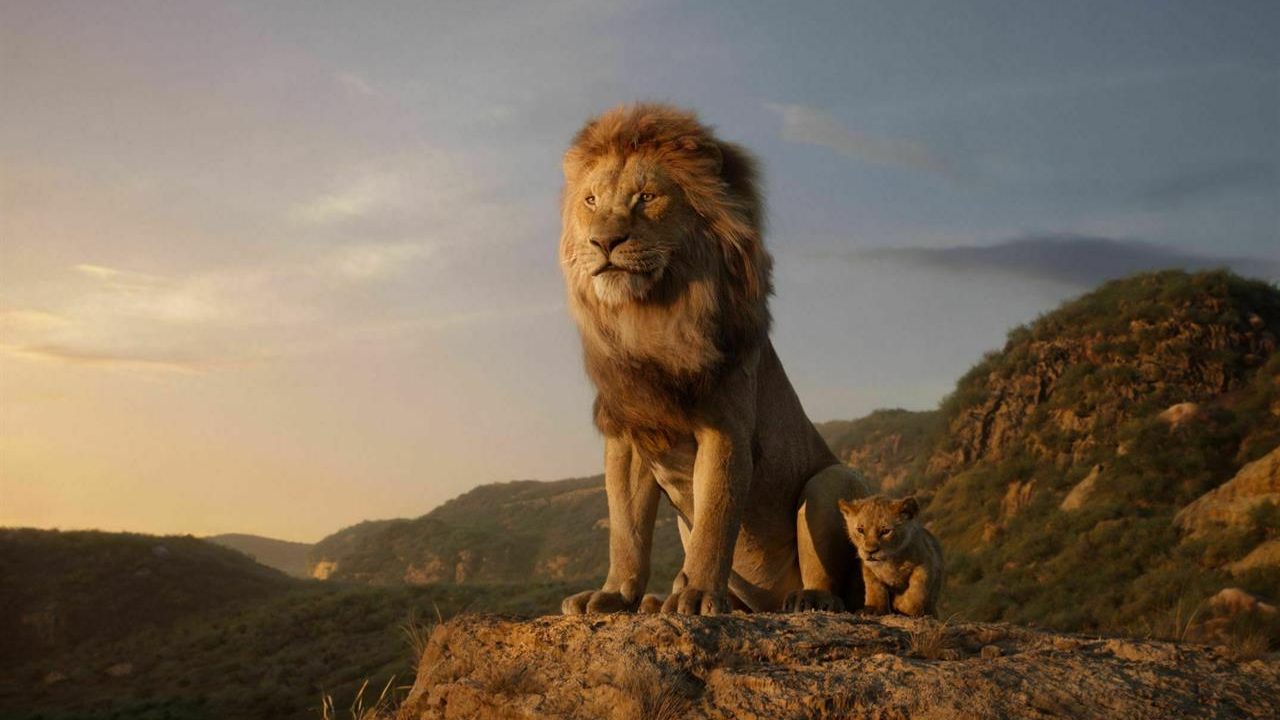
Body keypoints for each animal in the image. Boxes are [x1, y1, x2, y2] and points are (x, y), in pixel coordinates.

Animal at [557, 103, 870, 615]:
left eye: (647, 197)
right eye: (590, 201)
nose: (603, 242)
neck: (650, 319)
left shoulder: (726, 429)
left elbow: (715, 521)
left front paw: (699, 594)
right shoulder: (629, 434)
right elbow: (626, 530)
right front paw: (614, 594)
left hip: (832, 480)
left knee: (836, 584)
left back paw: (807, 599)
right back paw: (657, 600)